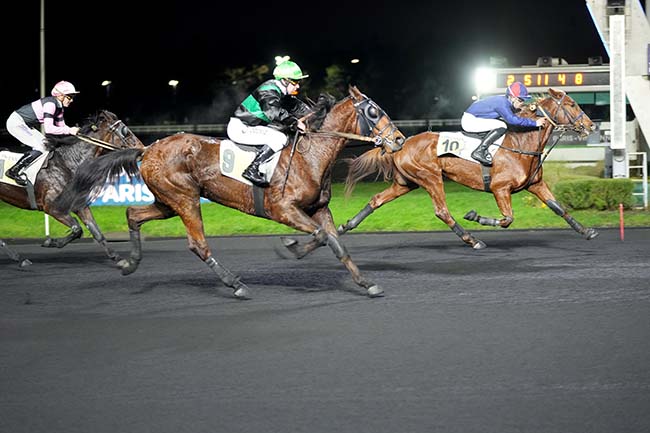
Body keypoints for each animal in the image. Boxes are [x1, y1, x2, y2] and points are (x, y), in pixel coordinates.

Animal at [0, 110, 144, 266]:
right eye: (125, 132)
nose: (142, 149)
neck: (68, 163)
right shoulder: (52, 208)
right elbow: (77, 229)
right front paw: (51, 241)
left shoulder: (79, 205)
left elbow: (95, 231)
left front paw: (118, 259)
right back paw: (19, 258)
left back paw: (18, 258)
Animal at [58, 86, 408, 298]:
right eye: (373, 112)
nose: (400, 140)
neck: (310, 155)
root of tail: (148, 149)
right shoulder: (284, 209)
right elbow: (322, 237)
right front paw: (291, 248)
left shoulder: (319, 209)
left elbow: (336, 243)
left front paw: (366, 283)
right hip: (185, 199)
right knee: (197, 244)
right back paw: (235, 284)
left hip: (168, 201)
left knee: (134, 213)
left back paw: (129, 263)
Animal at [280, 88, 596, 256]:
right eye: (571, 104)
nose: (590, 125)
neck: (521, 143)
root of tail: (401, 143)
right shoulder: (500, 188)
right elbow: (507, 219)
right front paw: (476, 216)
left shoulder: (535, 185)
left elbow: (560, 208)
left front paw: (587, 231)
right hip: (430, 177)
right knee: (442, 211)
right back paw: (472, 239)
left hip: (405, 183)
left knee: (376, 200)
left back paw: (345, 227)